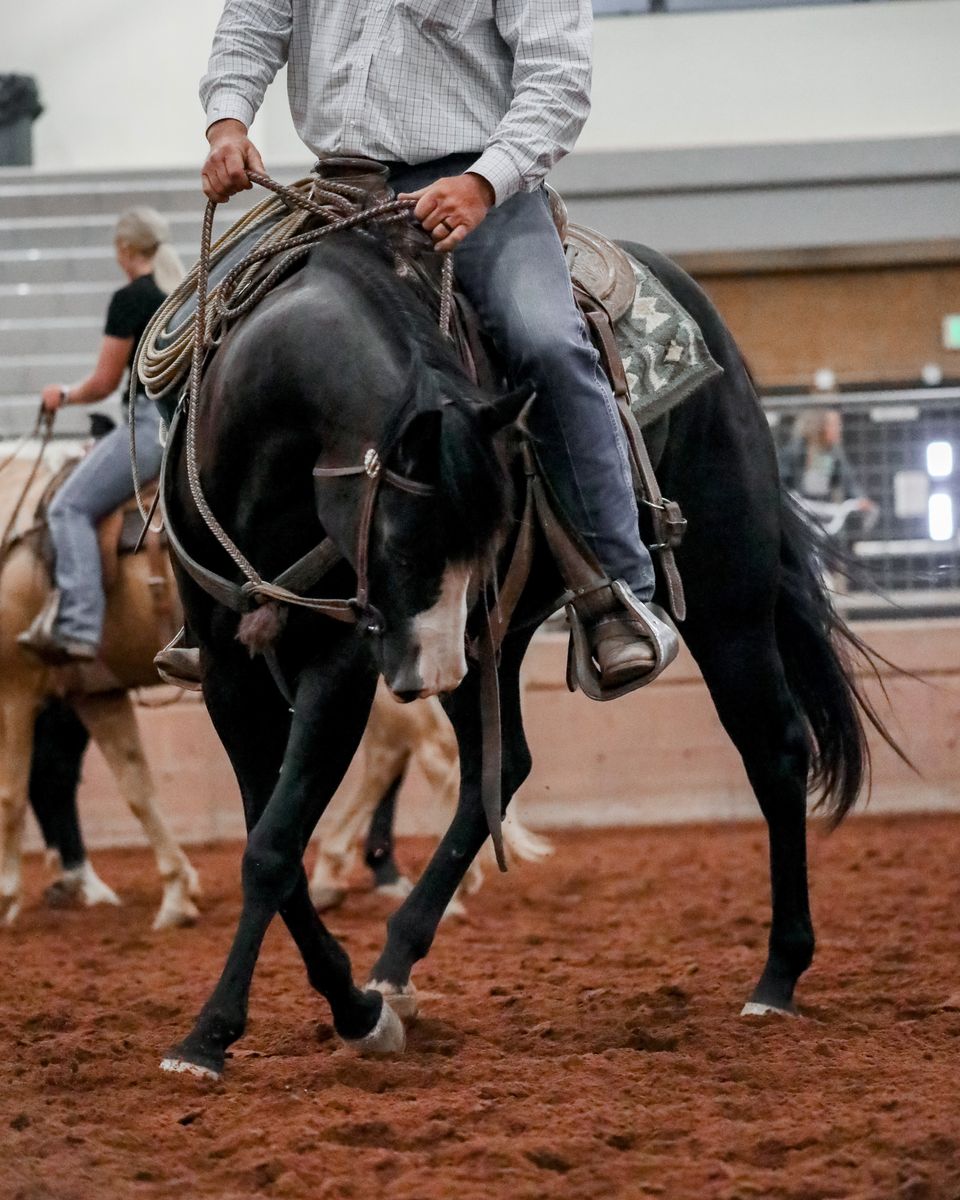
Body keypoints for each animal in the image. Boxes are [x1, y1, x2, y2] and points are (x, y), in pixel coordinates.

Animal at [0, 448, 201, 929]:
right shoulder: (95, 696)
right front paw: (176, 895)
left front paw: (5, 895)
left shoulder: (14, 686)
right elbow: (137, 788)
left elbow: (10, 793)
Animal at [159, 226, 895, 1079]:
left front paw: (215, 1034)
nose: (431, 671)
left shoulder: (339, 667)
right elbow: (270, 843)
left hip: (727, 595)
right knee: (501, 765)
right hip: (499, 639)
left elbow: (274, 850)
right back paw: (395, 965)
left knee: (775, 748)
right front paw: (350, 1006)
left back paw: (777, 977)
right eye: (406, 542)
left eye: (468, 536)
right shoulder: (228, 673)